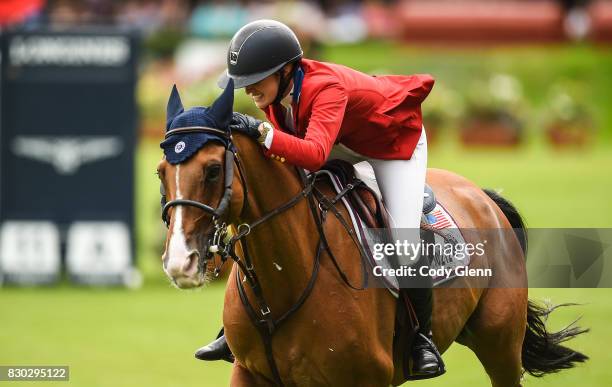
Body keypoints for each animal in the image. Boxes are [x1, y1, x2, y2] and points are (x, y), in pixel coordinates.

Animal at [158, 84, 588, 384]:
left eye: (213, 170)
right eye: (161, 172)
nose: (180, 263)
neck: (283, 287)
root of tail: (483, 197)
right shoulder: (250, 372)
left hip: (499, 344)